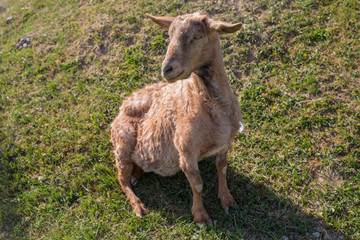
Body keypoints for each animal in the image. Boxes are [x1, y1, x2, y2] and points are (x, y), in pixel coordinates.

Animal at [110, 10, 245, 225]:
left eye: (197, 36)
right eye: (169, 35)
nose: (167, 69)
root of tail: (122, 106)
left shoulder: (225, 144)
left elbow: (221, 168)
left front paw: (227, 201)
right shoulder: (186, 152)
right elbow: (197, 184)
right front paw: (201, 217)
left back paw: (137, 175)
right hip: (122, 145)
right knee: (121, 180)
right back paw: (138, 206)